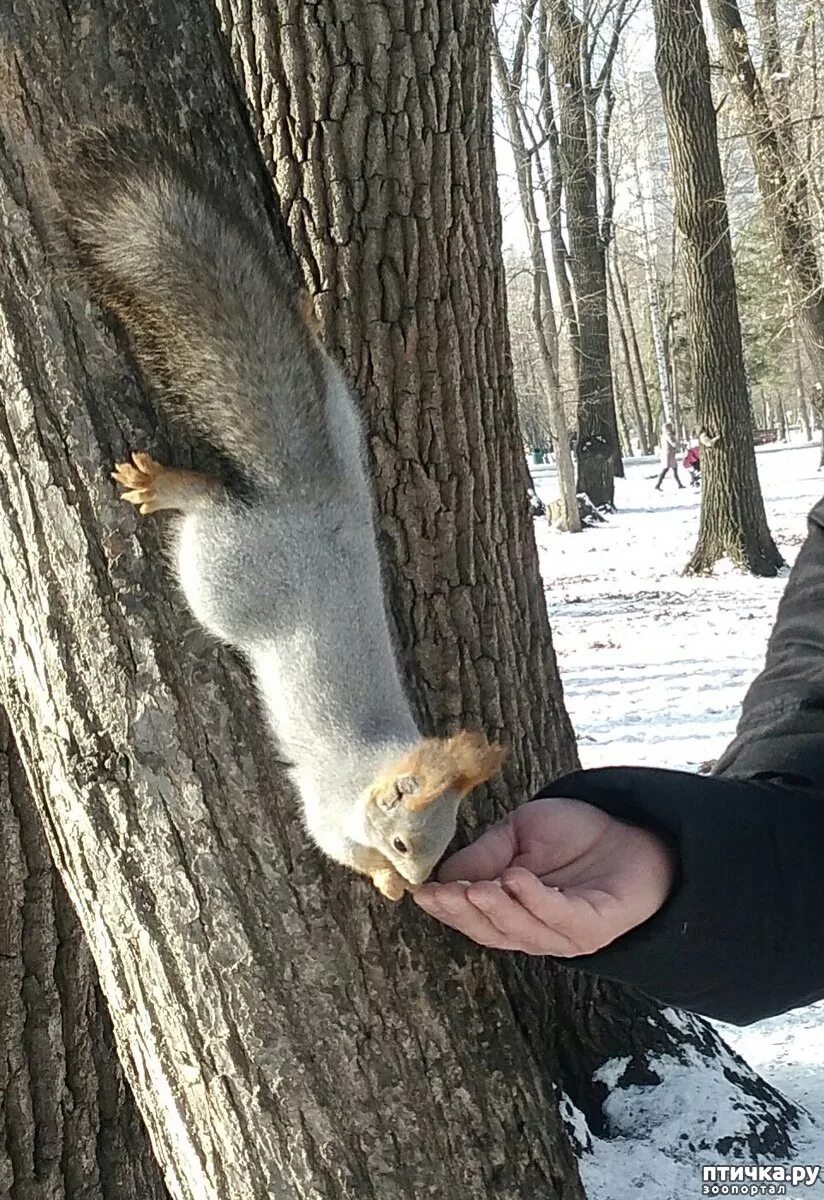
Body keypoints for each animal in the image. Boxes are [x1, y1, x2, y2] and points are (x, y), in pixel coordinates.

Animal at [54, 131, 506, 902]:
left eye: (444, 845)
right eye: (402, 841)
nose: (420, 886)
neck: (374, 765)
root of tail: (307, 490)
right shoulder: (327, 809)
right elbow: (336, 847)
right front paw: (382, 882)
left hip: (341, 413)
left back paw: (305, 314)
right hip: (223, 574)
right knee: (207, 507)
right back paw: (166, 485)